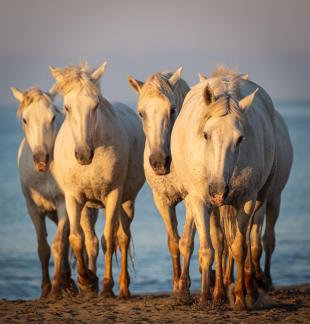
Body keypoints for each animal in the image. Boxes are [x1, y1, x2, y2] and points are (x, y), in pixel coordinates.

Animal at [11, 86, 78, 298]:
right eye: (25, 119)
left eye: (53, 117)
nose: (41, 159)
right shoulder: (33, 208)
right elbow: (43, 247)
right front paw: (46, 288)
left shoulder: (63, 204)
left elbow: (58, 245)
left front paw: (55, 289)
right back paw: (67, 280)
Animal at [50, 62, 145, 298]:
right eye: (66, 107)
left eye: (95, 105)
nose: (83, 154)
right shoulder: (73, 197)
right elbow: (77, 238)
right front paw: (86, 280)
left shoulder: (113, 195)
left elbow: (109, 239)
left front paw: (107, 286)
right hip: (87, 206)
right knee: (90, 240)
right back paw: (90, 283)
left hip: (126, 202)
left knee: (123, 238)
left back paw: (123, 288)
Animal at [126, 68, 191, 294]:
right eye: (140, 113)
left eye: (172, 110)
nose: (159, 162)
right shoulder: (162, 201)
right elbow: (173, 242)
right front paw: (176, 286)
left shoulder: (193, 199)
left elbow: (186, 241)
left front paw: (184, 289)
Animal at [171, 69, 280, 308]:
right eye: (206, 134)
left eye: (240, 139)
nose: (219, 189)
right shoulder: (200, 201)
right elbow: (207, 250)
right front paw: (204, 296)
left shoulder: (247, 200)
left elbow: (239, 247)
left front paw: (239, 297)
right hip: (211, 206)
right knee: (218, 242)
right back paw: (218, 292)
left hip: (255, 200)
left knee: (242, 241)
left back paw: (246, 289)